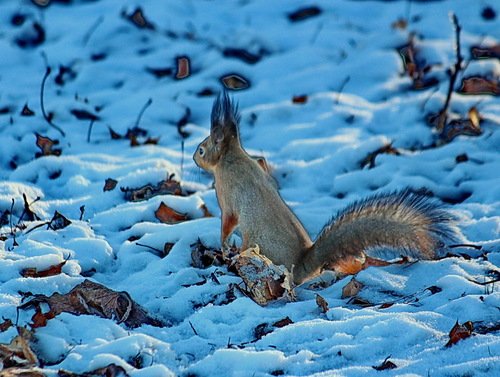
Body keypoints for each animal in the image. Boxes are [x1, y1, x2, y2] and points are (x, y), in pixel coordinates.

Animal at [194, 92, 460, 284]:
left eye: (201, 150)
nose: (195, 159)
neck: (232, 156)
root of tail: (301, 267)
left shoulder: (227, 195)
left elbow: (228, 221)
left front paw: (223, 245)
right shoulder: (259, 164)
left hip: (255, 245)